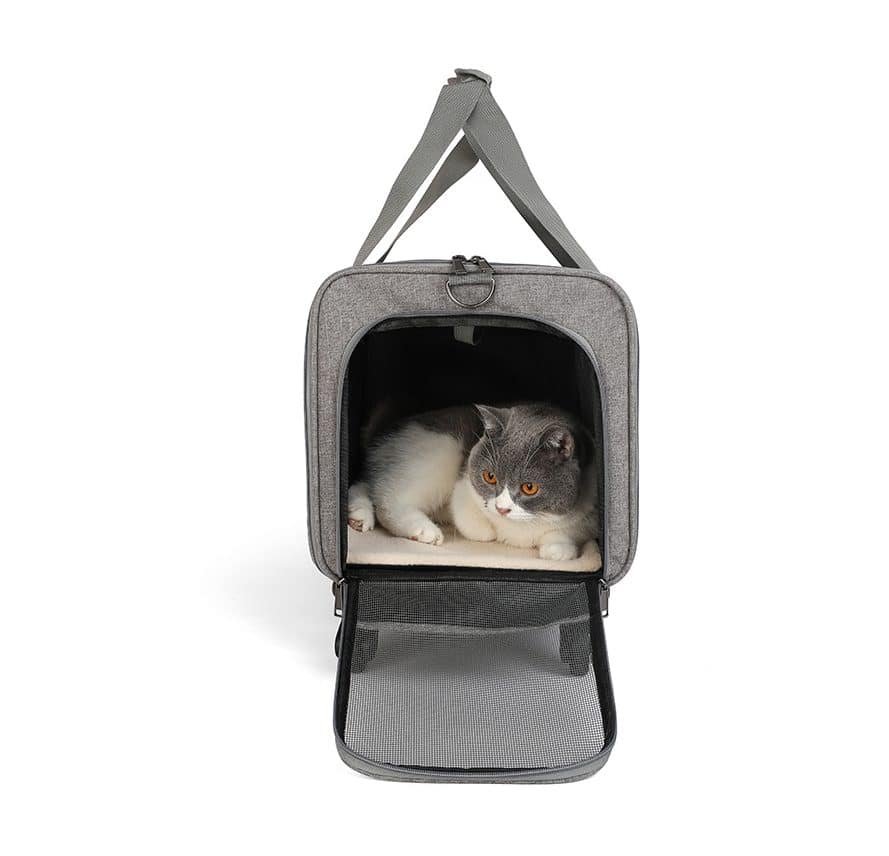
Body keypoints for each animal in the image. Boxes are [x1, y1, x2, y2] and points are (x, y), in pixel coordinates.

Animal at [347, 403, 599, 561]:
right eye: (490, 476)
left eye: (529, 487)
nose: (502, 509)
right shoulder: (464, 483)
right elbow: (475, 524)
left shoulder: (591, 506)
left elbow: (571, 530)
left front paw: (559, 549)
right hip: (440, 451)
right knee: (387, 496)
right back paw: (422, 529)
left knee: (365, 483)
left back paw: (358, 516)